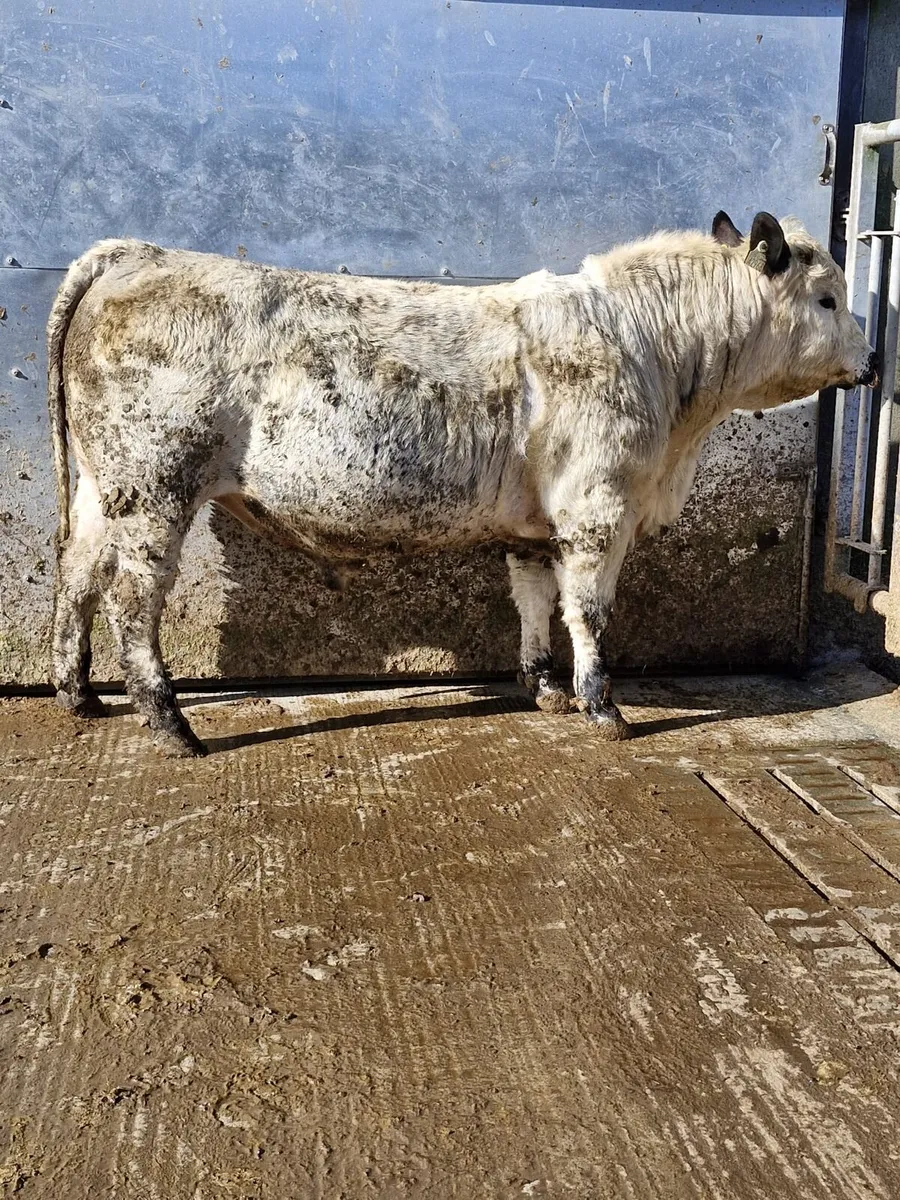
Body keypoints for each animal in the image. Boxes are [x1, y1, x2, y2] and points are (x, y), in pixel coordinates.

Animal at [46, 211, 877, 757]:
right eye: (827, 298)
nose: (872, 363)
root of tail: (138, 253)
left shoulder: (535, 526)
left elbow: (535, 601)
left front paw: (545, 689)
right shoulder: (598, 508)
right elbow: (589, 611)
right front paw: (601, 706)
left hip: (101, 488)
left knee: (77, 576)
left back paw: (79, 694)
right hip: (154, 488)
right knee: (131, 601)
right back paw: (170, 724)